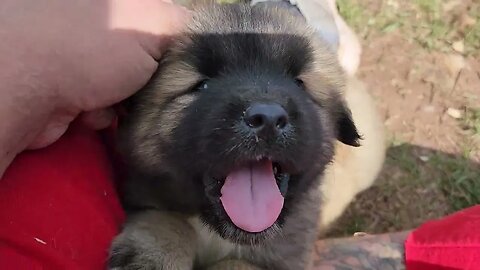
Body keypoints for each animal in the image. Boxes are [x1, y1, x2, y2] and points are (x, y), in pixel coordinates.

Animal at [108, 2, 382, 270]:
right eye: (203, 85)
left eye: (299, 83)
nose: (268, 119)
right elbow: (168, 219)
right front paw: (150, 254)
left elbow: (237, 264)